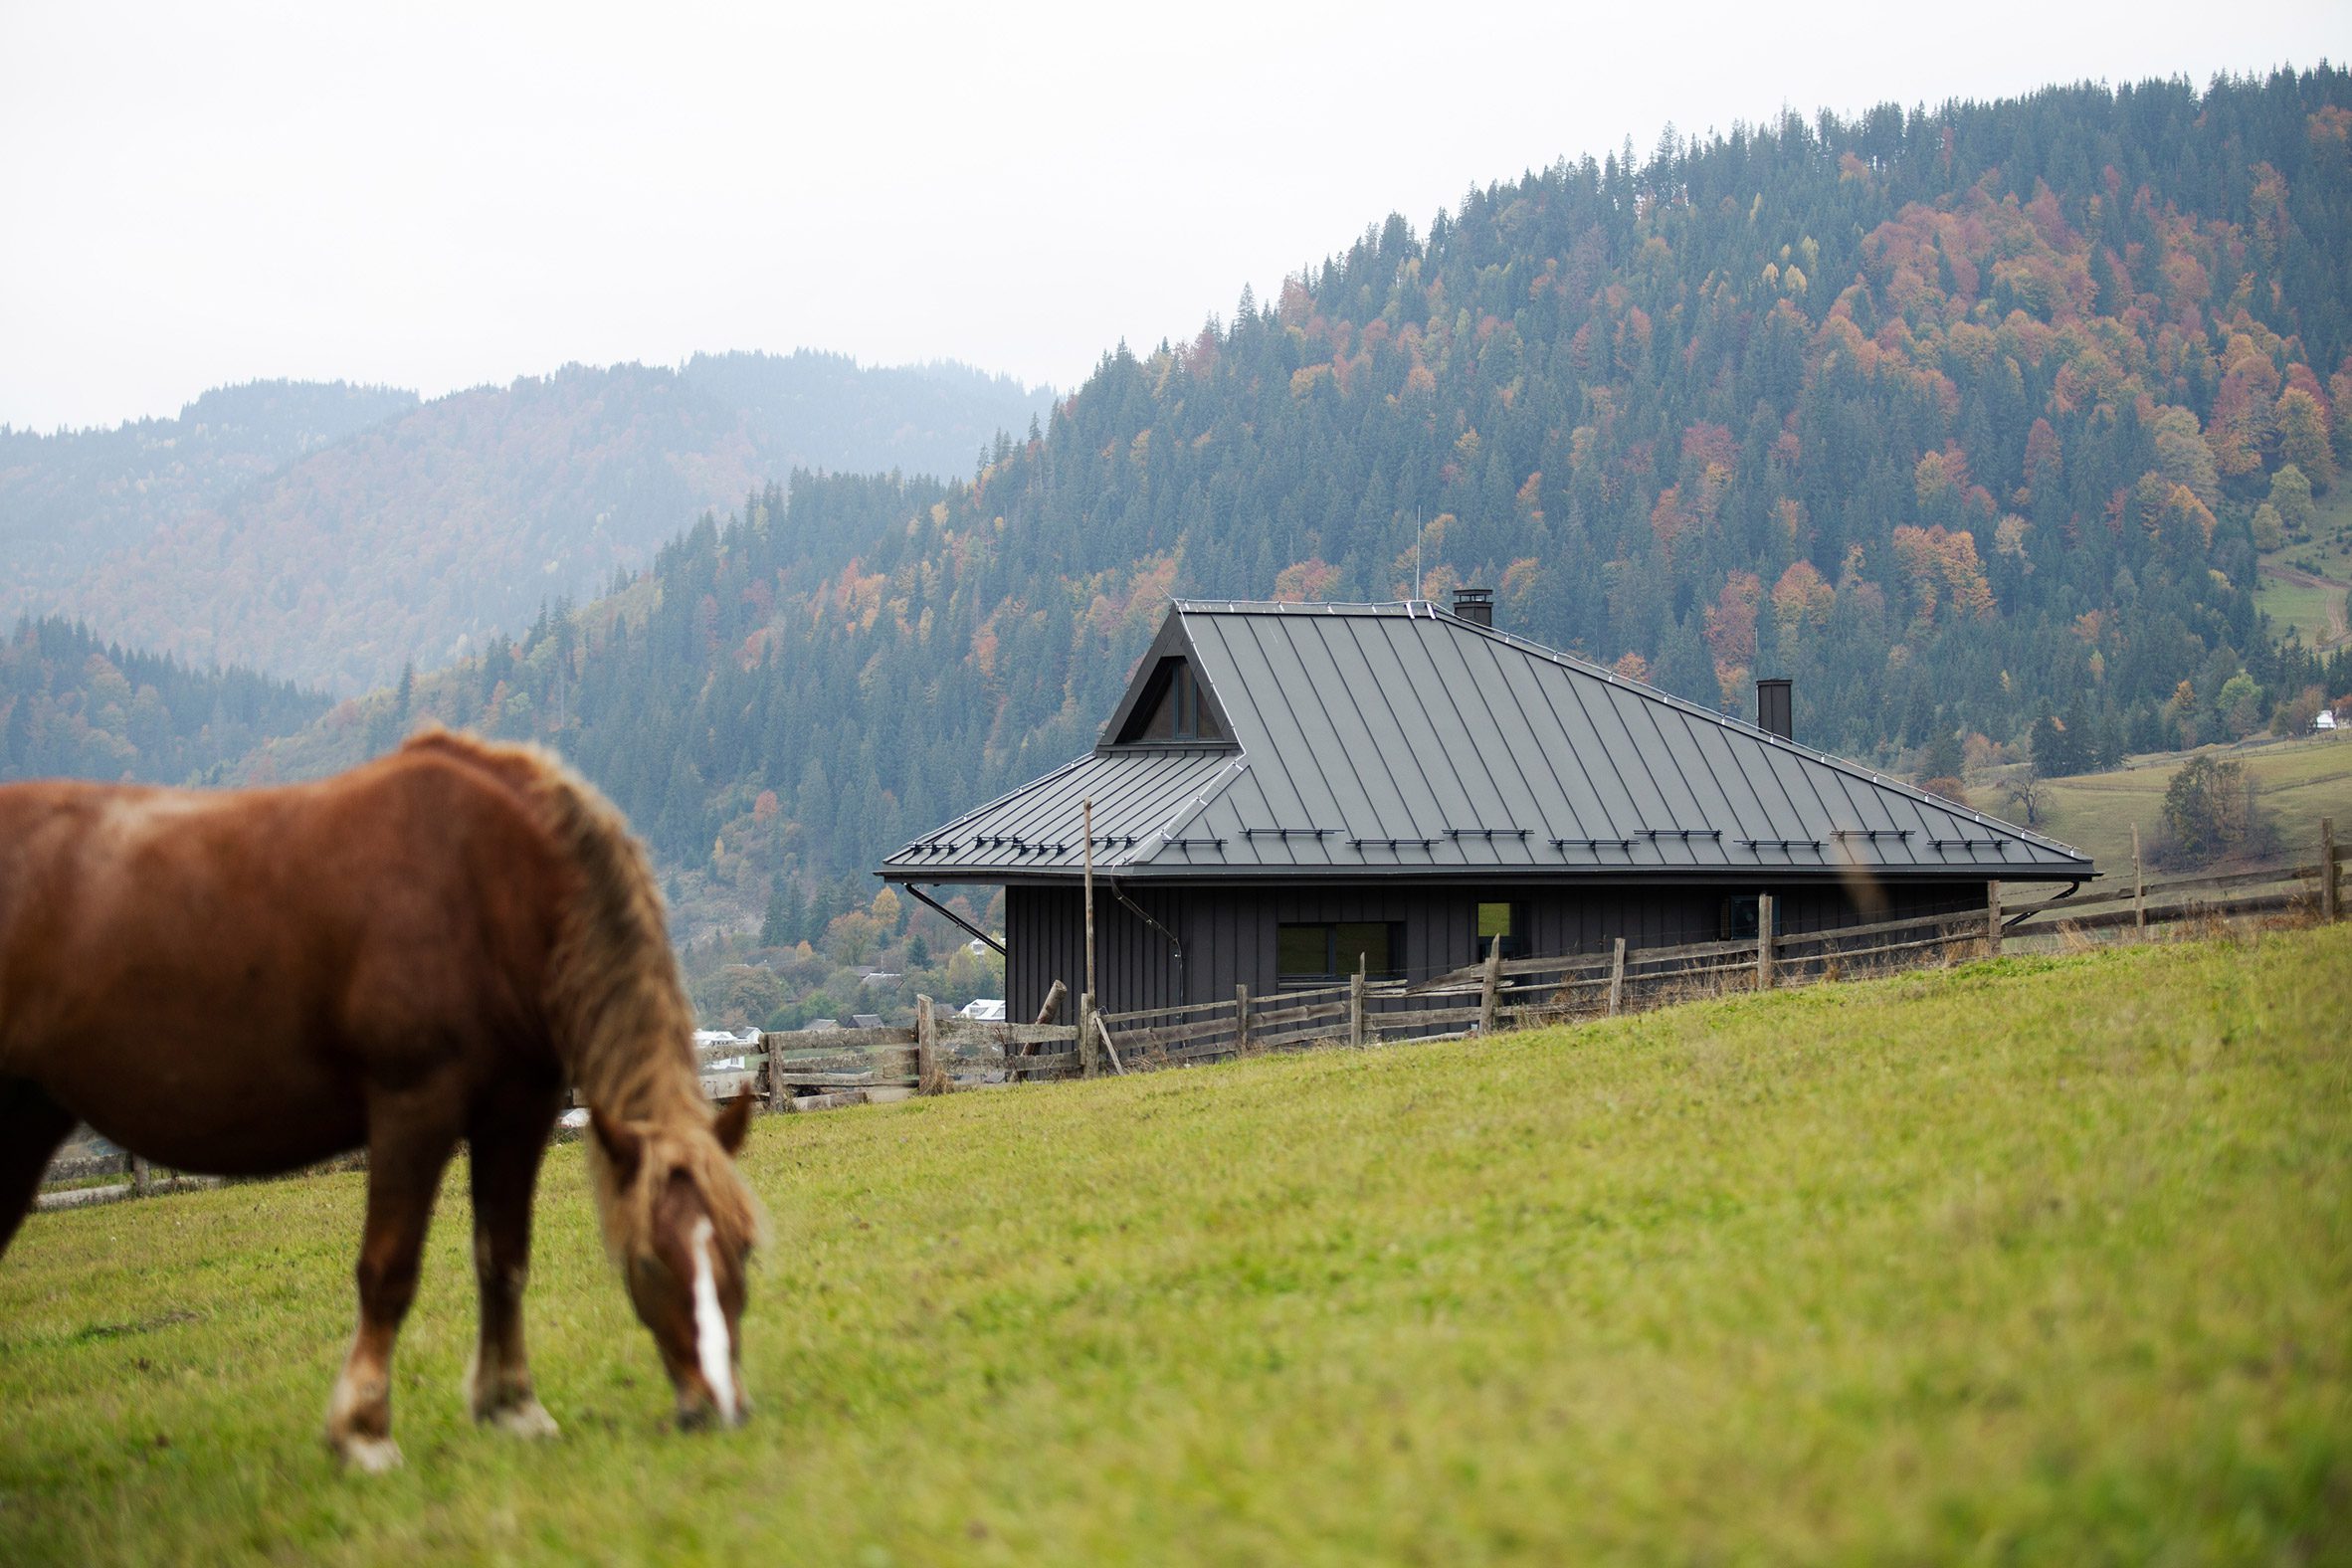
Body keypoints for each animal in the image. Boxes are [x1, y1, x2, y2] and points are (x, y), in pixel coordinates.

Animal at [0, 728, 761, 1467]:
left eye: (744, 1247)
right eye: (649, 1261)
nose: (720, 1411)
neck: (494, 883)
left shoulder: (518, 1110)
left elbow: (504, 1258)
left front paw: (512, 1406)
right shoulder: (413, 1109)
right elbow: (388, 1270)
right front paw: (363, 1430)